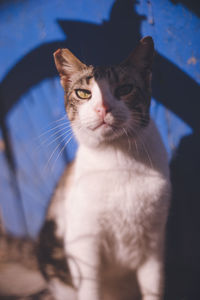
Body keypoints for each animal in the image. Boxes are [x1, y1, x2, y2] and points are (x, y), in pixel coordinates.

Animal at [36, 35, 171, 300]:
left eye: (125, 89)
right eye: (83, 93)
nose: (103, 108)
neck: (118, 161)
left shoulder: (154, 245)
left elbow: (153, 288)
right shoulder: (84, 245)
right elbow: (89, 289)